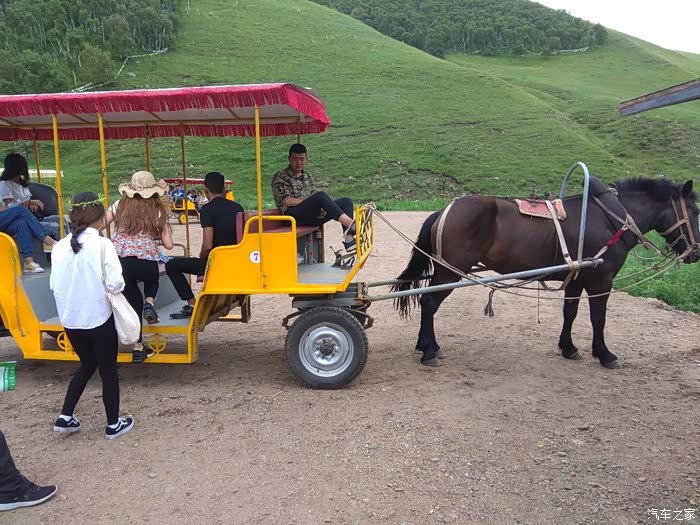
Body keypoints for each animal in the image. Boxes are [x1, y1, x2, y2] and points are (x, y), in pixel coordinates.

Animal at [392, 177, 699, 369]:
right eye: (696, 211)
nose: (695, 252)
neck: (610, 218)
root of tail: (445, 209)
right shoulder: (601, 280)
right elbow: (598, 318)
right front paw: (604, 354)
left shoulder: (577, 278)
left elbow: (570, 313)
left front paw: (568, 347)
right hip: (450, 271)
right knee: (429, 302)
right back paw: (428, 350)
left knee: (427, 302)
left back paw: (429, 345)